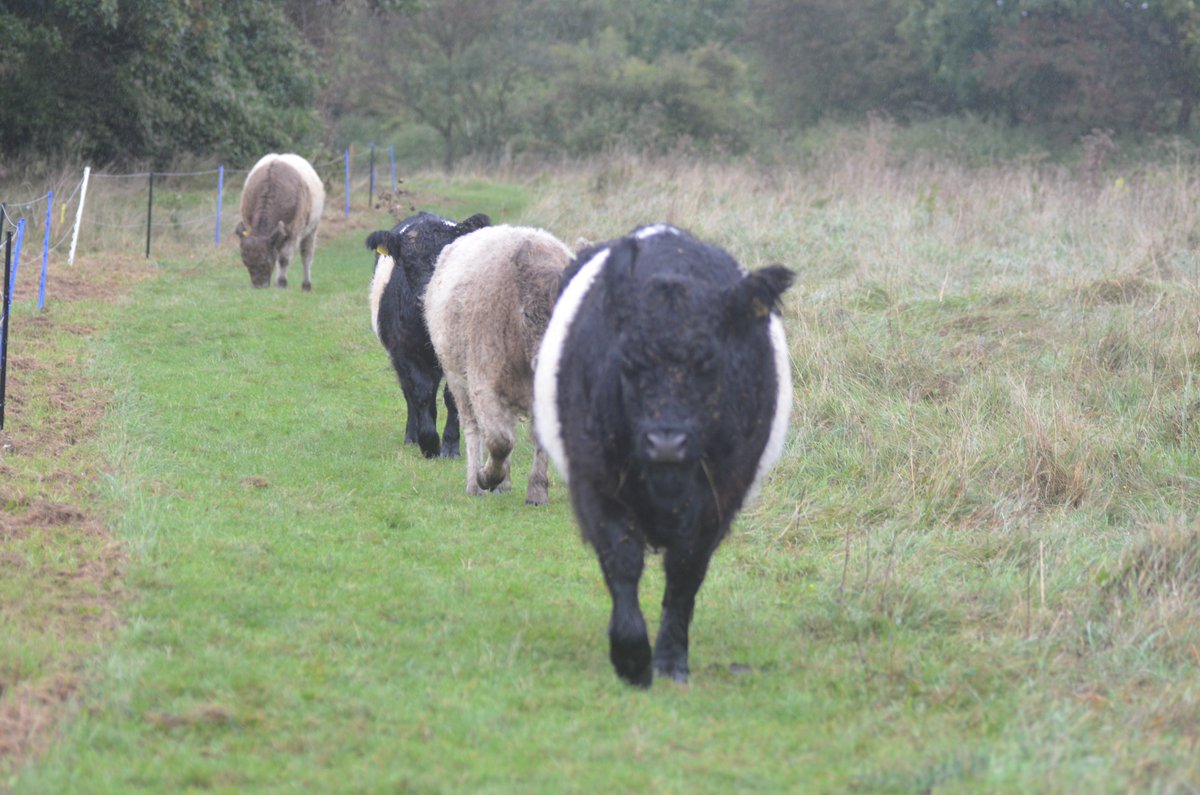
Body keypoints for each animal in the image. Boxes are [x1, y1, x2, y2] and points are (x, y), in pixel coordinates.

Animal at [362, 211, 489, 461]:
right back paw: (413, 436)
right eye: (407, 264)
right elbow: (420, 394)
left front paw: (450, 446)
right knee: (411, 394)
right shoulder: (404, 351)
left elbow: (451, 398)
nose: (425, 298)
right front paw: (429, 443)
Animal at [424, 224, 573, 504]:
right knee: (474, 429)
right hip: (458, 382)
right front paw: (486, 477)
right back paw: (476, 484)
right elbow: (499, 441)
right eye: (527, 315)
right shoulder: (482, 386)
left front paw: (537, 491)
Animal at [535, 225, 796, 691]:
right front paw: (632, 659)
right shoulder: (597, 483)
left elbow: (685, 576)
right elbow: (622, 563)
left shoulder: (718, 498)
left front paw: (671, 661)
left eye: (709, 363)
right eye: (628, 362)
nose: (666, 442)